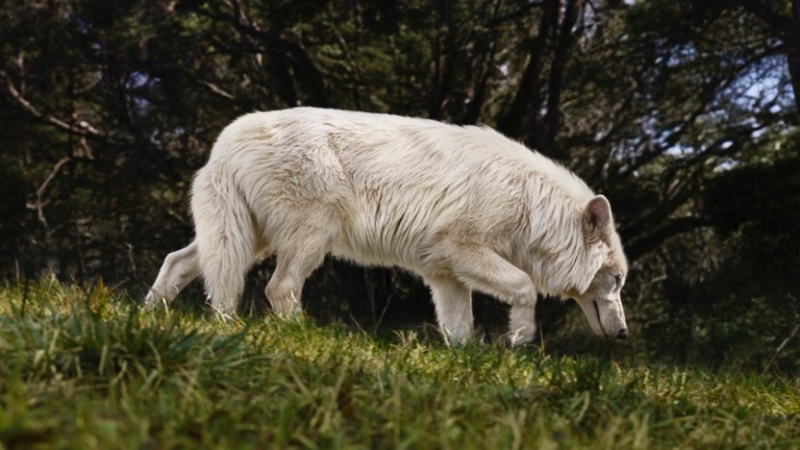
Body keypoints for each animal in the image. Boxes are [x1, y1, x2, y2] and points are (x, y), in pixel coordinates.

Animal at [145, 107, 629, 345]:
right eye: (619, 280)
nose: (624, 333)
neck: (531, 205)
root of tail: (226, 140)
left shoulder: (444, 274)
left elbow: (460, 331)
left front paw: (466, 364)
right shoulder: (464, 248)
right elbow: (525, 287)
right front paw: (521, 338)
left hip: (245, 240)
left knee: (178, 262)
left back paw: (155, 316)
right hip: (308, 240)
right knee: (278, 288)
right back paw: (300, 332)